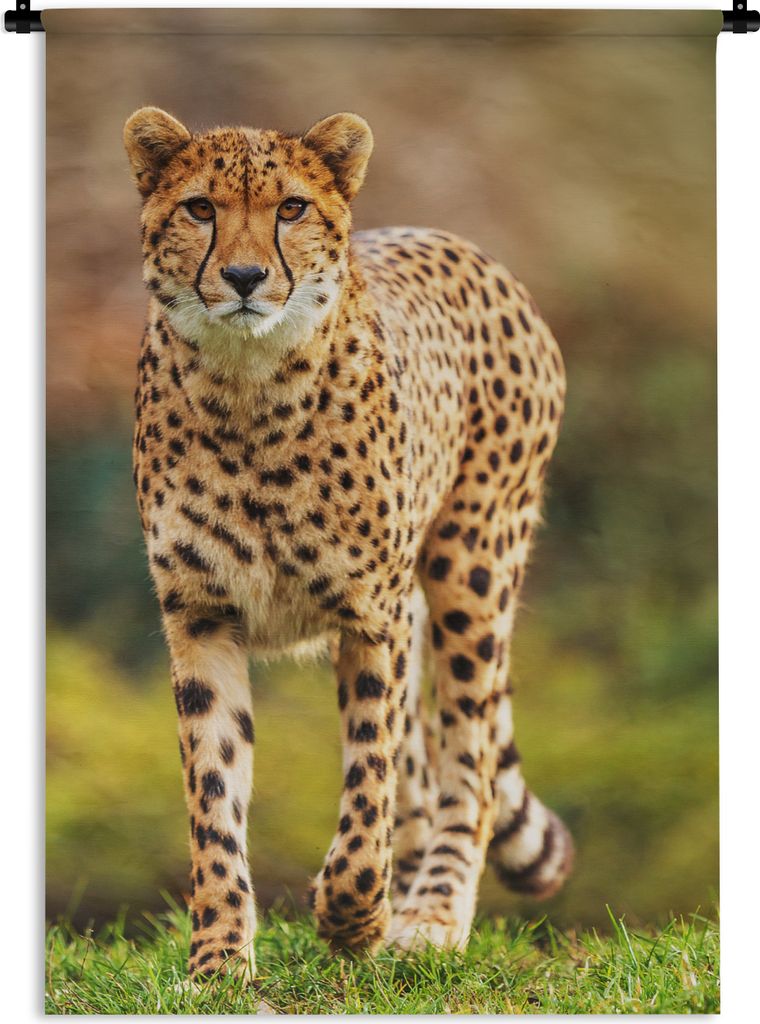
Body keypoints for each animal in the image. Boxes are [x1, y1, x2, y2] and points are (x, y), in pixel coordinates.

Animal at [124, 106, 572, 982]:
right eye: (200, 208)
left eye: (292, 209)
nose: (244, 277)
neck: (249, 389)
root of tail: (465, 247)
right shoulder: (200, 615)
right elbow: (214, 794)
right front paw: (219, 957)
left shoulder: (374, 614)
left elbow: (369, 782)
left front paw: (351, 917)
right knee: (426, 771)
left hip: (471, 565)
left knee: (464, 762)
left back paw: (430, 914)